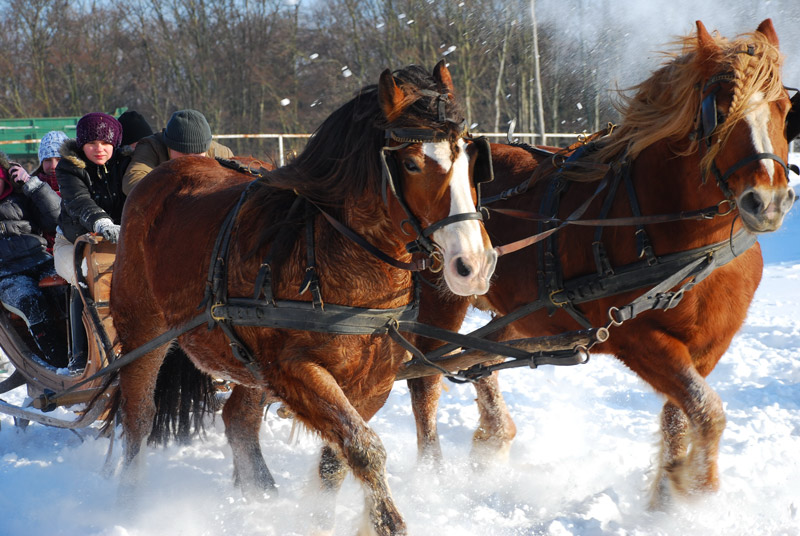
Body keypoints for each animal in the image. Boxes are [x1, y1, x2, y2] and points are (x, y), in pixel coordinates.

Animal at [106, 61, 494, 532]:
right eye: (413, 163)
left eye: (472, 161)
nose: (474, 263)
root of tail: (159, 179)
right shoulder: (294, 368)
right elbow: (364, 448)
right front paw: (388, 522)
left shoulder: (374, 379)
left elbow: (338, 458)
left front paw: (319, 520)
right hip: (144, 330)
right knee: (139, 414)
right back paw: (130, 500)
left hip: (248, 363)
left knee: (238, 420)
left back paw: (261, 497)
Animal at [410, 18, 796, 508]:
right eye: (719, 108)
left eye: (785, 108)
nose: (768, 201)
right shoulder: (634, 335)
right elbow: (707, 411)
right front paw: (696, 491)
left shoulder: (709, 344)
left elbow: (680, 415)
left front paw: (665, 499)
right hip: (443, 297)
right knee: (426, 376)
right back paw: (433, 481)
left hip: (515, 311)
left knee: (476, 359)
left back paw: (493, 436)